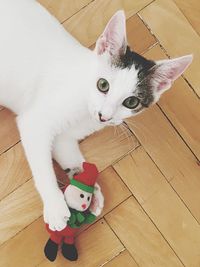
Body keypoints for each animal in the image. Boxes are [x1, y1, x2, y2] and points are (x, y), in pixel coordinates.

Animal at [0, 0, 192, 231]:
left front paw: (89, 189)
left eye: (131, 102)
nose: (104, 116)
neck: (84, 109)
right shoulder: (34, 122)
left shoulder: (66, 137)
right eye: (103, 85)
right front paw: (54, 206)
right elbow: (42, 167)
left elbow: (69, 154)